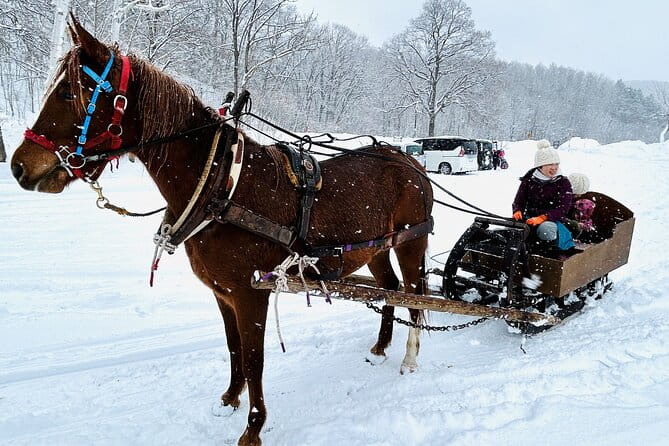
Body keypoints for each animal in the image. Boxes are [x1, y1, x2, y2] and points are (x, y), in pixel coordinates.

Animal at [10, 18, 433, 446]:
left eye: (68, 92)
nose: (17, 166)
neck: (220, 186)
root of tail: (411, 161)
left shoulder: (251, 293)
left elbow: (254, 358)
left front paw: (254, 427)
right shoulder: (223, 292)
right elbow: (234, 350)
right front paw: (230, 398)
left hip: (412, 241)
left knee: (416, 295)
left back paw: (411, 357)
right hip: (377, 248)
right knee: (391, 289)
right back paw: (381, 345)